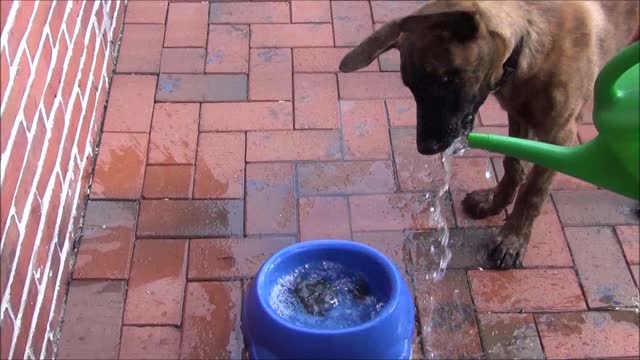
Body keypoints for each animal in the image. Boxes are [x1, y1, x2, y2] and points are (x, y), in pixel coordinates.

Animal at [338, 0, 636, 268]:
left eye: (445, 79)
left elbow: (533, 192)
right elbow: (512, 164)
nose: (426, 147)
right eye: (410, 87)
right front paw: (495, 202)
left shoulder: (560, 134)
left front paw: (513, 240)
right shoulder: (517, 115)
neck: (528, 43)